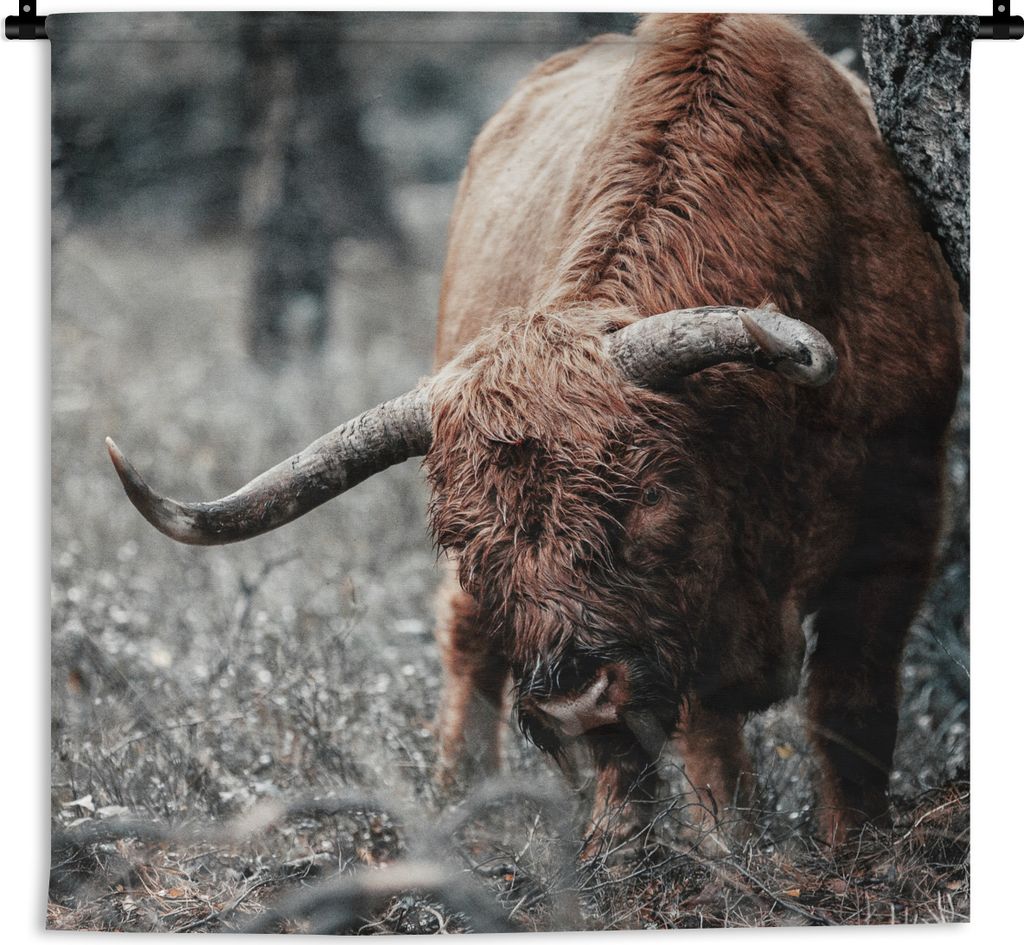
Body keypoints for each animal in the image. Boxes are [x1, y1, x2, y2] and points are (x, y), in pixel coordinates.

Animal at [106, 14, 963, 855]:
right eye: (462, 539)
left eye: (651, 497)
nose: (572, 704)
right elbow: (694, 731)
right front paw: (674, 844)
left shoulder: (901, 515)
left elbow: (851, 701)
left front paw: (854, 840)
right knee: (468, 643)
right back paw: (478, 802)